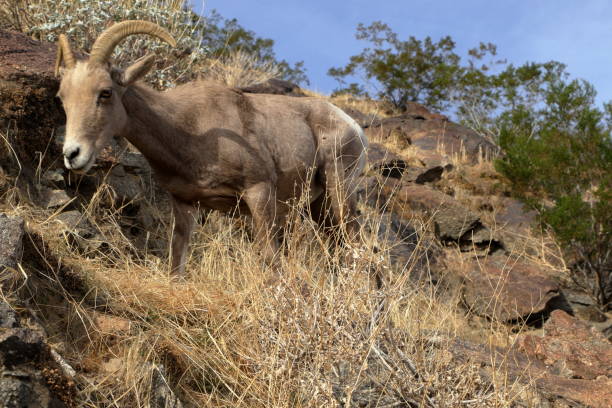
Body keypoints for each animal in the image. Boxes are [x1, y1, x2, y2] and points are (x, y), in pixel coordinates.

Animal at [55, 20, 368, 276]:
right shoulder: (185, 204)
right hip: (319, 209)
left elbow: (271, 260)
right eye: (62, 97)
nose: (72, 154)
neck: (189, 130)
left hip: (339, 193)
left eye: (105, 92)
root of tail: (352, 126)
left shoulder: (259, 192)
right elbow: (176, 265)